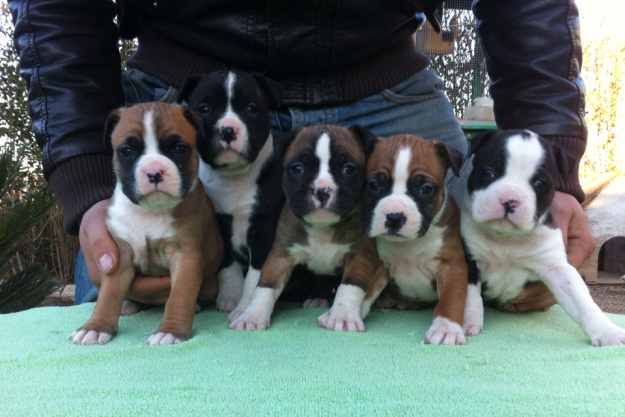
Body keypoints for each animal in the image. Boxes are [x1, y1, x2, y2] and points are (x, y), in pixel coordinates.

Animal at [70, 102, 223, 346]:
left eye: (180, 148)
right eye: (127, 151)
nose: (154, 172)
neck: (150, 211)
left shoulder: (186, 258)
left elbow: (180, 296)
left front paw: (171, 331)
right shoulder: (118, 257)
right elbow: (108, 295)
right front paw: (95, 327)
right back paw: (129, 303)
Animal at [174, 70, 284, 314]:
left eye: (251, 108)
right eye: (205, 108)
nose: (227, 130)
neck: (234, 176)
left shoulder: (264, 230)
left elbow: (256, 275)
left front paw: (245, 307)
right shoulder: (217, 225)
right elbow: (227, 264)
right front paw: (230, 296)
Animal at [230, 123, 386, 332]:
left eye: (349, 169)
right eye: (297, 169)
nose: (321, 190)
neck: (322, 226)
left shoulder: (361, 256)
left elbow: (350, 286)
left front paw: (343, 316)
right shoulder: (279, 257)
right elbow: (264, 286)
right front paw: (252, 316)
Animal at [360, 134, 468, 344]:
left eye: (425, 189)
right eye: (374, 185)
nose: (394, 217)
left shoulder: (451, 266)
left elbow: (451, 298)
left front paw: (446, 328)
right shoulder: (380, 264)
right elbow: (365, 291)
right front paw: (345, 313)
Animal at [458, 129, 624, 344]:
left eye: (540, 183)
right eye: (488, 172)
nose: (509, 200)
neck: (506, 238)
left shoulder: (558, 270)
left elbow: (582, 303)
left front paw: (607, 332)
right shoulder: (468, 261)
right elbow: (470, 295)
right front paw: (466, 321)